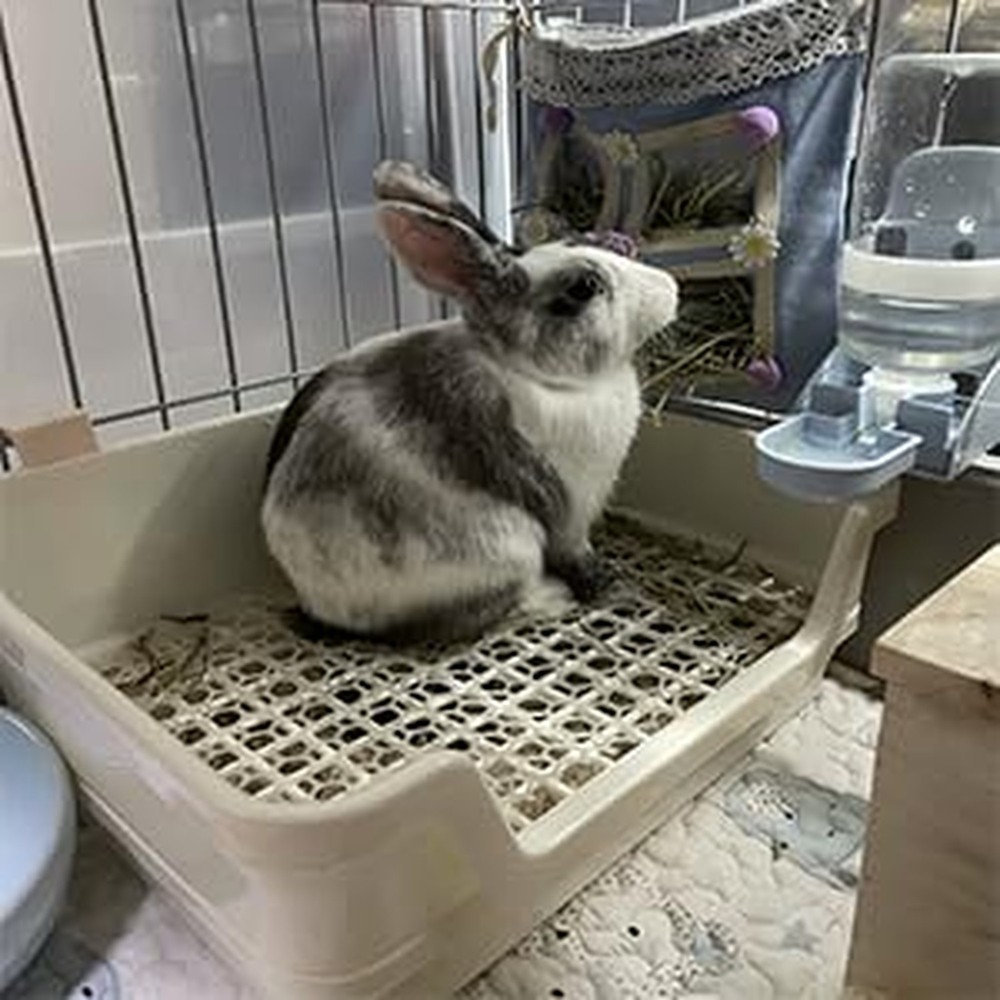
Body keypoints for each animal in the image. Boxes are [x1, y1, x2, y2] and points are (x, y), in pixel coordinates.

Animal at [261, 160, 678, 645]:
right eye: (583, 287)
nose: (671, 288)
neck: (532, 373)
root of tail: (318, 607)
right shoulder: (571, 511)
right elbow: (578, 554)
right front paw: (605, 585)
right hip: (508, 549)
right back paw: (552, 597)